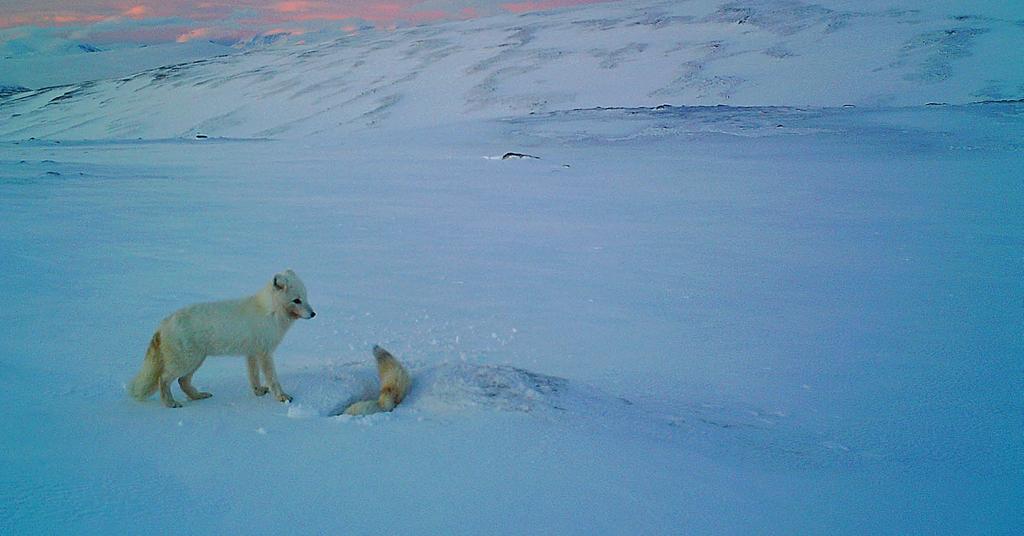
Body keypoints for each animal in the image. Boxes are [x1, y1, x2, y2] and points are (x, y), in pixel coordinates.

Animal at [127, 270, 313, 409]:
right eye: (296, 300)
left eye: (305, 298)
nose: (313, 314)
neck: (270, 312)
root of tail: (163, 323)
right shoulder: (264, 353)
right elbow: (272, 378)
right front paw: (282, 397)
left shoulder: (252, 353)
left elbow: (253, 376)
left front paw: (258, 391)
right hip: (186, 362)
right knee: (164, 379)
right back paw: (170, 403)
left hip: (196, 361)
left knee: (182, 381)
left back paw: (198, 396)